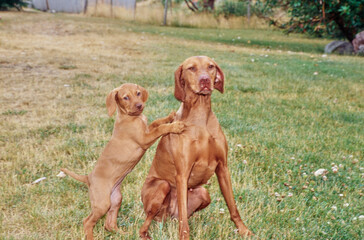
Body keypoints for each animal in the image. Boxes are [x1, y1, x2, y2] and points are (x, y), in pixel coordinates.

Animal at [61, 83, 185, 239]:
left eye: (138, 93)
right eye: (125, 97)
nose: (139, 105)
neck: (130, 117)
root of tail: (88, 177)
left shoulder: (147, 129)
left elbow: (157, 122)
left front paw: (169, 116)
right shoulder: (145, 139)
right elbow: (160, 129)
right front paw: (175, 126)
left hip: (115, 200)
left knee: (109, 224)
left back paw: (123, 233)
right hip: (102, 203)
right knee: (87, 221)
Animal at [139, 56, 253, 240]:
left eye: (211, 66)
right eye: (191, 68)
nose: (205, 80)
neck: (200, 117)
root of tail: (167, 216)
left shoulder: (223, 168)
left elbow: (233, 206)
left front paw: (244, 230)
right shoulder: (182, 173)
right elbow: (184, 222)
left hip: (203, 193)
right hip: (161, 186)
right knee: (147, 223)